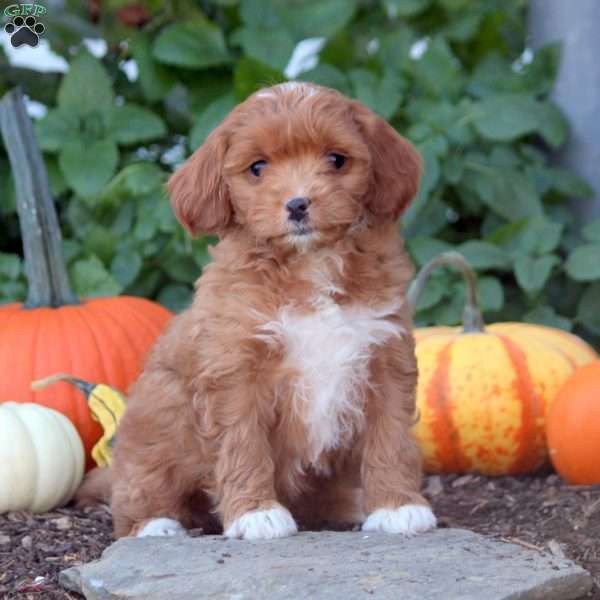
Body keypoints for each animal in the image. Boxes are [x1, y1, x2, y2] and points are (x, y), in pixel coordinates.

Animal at [85, 83, 436, 540]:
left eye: (336, 159)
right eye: (257, 167)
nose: (298, 203)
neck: (309, 263)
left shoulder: (385, 355)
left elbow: (390, 437)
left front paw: (397, 505)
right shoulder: (234, 372)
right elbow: (243, 443)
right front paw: (255, 513)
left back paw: (351, 503)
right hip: (156, 422)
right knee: (136, 489)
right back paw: (155, 525)